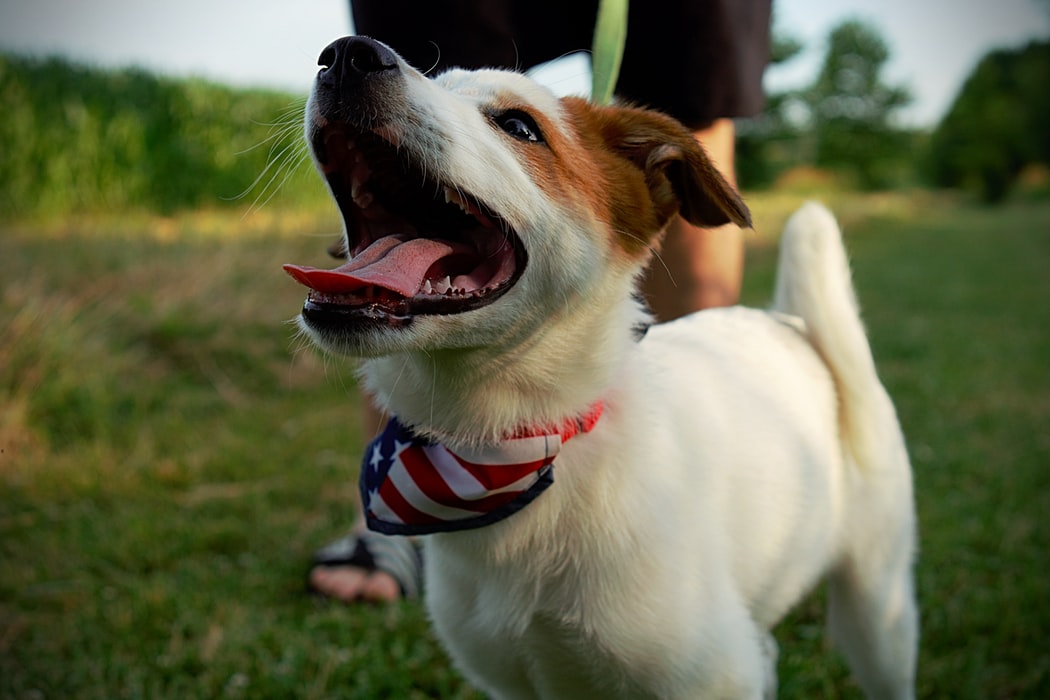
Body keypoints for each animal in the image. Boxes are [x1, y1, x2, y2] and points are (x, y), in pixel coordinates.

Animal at [283, 36, 915, 700]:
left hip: (879, 609)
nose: (347, 54)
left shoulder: (711, 677)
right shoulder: (515, 684)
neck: (510, 450)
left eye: (518, 126)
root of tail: (793, 326)